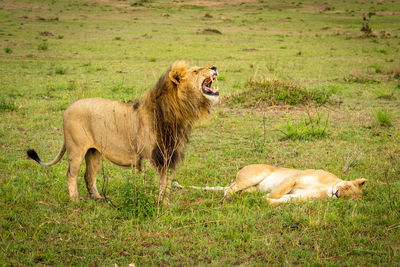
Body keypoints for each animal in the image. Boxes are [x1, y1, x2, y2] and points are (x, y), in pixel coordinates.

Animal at [26, 62, 220, 205]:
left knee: (89, 176)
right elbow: (152, 185)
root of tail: (67, 109)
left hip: (94, 152)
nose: (214, 67)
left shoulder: (169, 157)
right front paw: (152, 203)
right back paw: (75, 200)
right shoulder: (150, 159)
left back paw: (98, 198)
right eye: (195, 71)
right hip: (76, 150)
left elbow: (165, 186)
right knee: (71, 175)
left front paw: (165, 205)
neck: (177, 114)